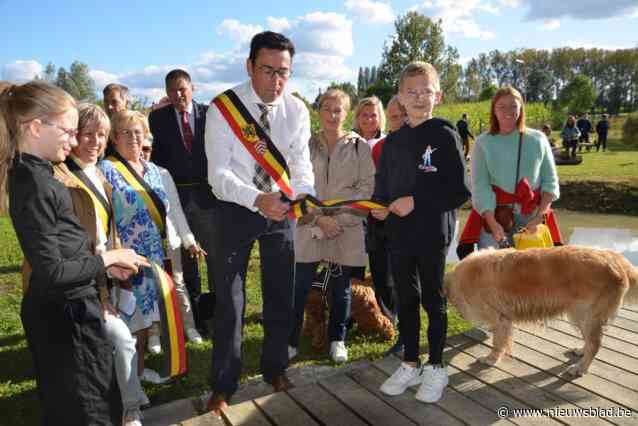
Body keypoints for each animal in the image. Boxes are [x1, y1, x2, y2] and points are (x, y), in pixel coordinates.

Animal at [444, 245, 638, 378]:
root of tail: (616, 258)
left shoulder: (500, 319)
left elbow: (497, 343)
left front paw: (490, 360)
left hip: (585, 315)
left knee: (595, 344)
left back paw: (580, 368)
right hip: (581, 315)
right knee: (591, 341)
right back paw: (580, 352)